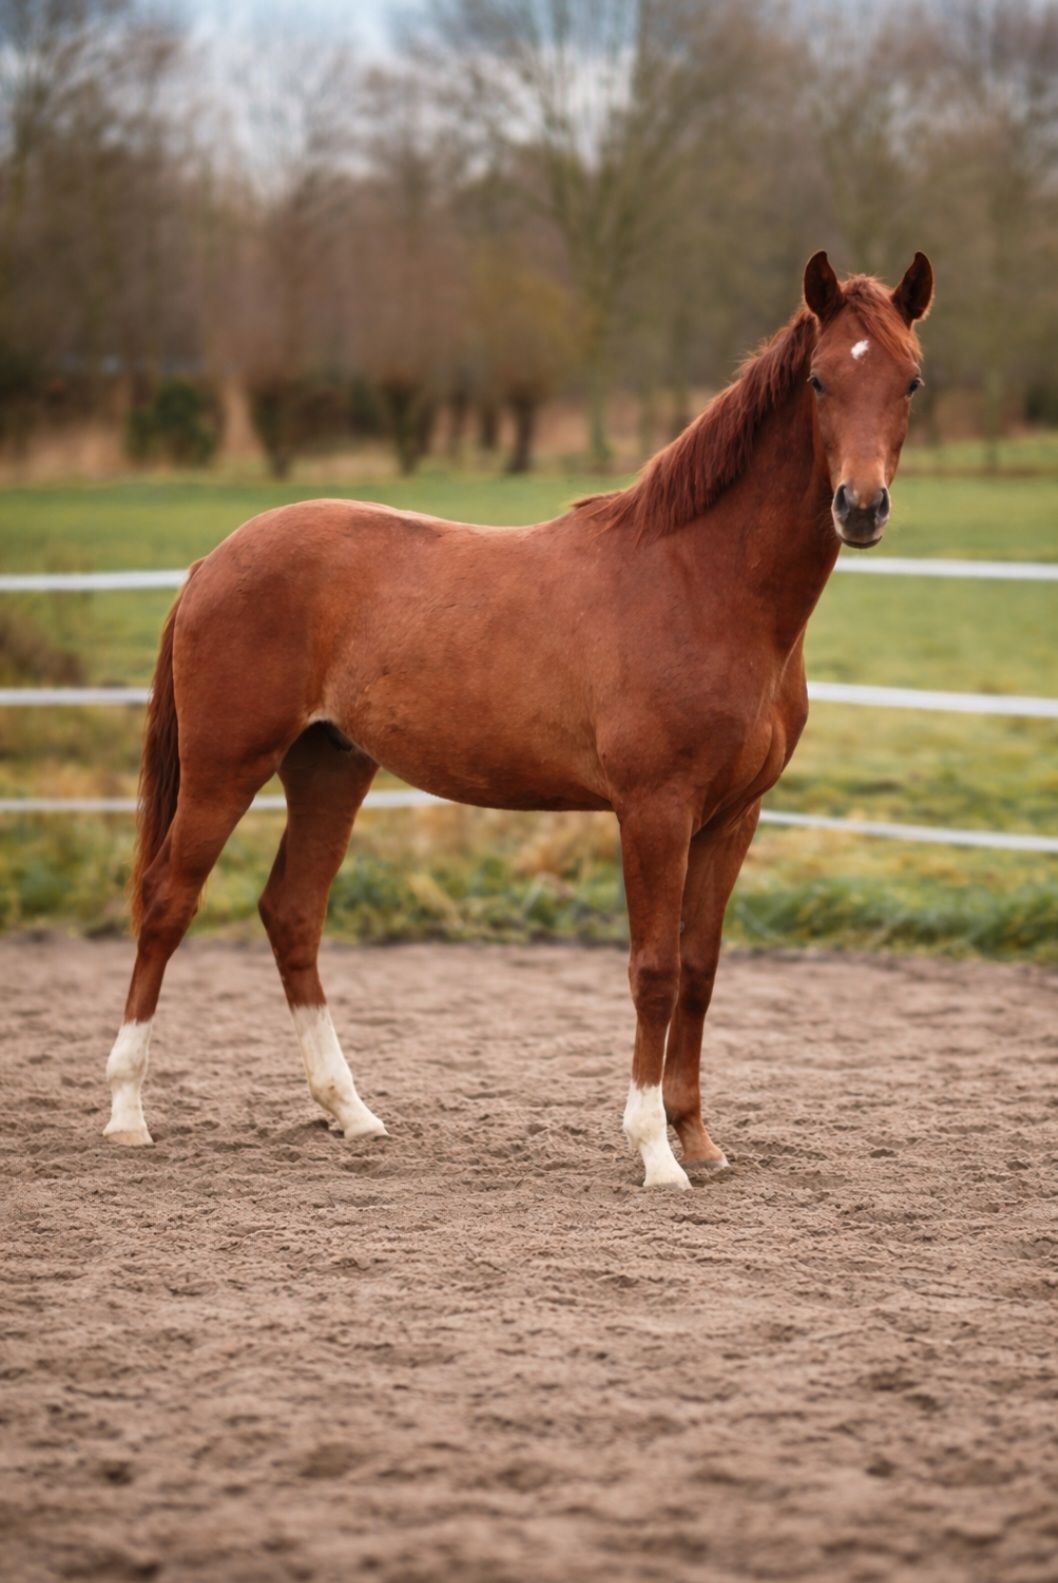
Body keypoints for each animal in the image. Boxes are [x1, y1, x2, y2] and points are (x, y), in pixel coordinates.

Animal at [103, 249, 933, 1189]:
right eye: (822, 379)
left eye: (910, 380)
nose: (859, 506)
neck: (701, 585)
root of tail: (214, 560)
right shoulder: (655, 810)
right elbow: (654, 969)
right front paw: (655, 1152)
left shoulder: (733, 816)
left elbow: (700, 968)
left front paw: (697, 1139)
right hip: (225, 768)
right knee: (167, 903)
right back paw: (127, 1112)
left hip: (329, 766)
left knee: (292, 914)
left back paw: (350, 1112)